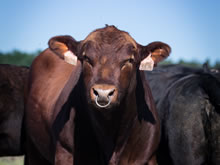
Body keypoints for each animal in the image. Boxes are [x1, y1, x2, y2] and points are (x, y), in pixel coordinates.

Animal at [25, 25, 170, 164]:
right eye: (86, 58)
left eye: (129, 60)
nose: (103, 93)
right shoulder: (64, 153)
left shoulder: (148, 157)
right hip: (33, 151)